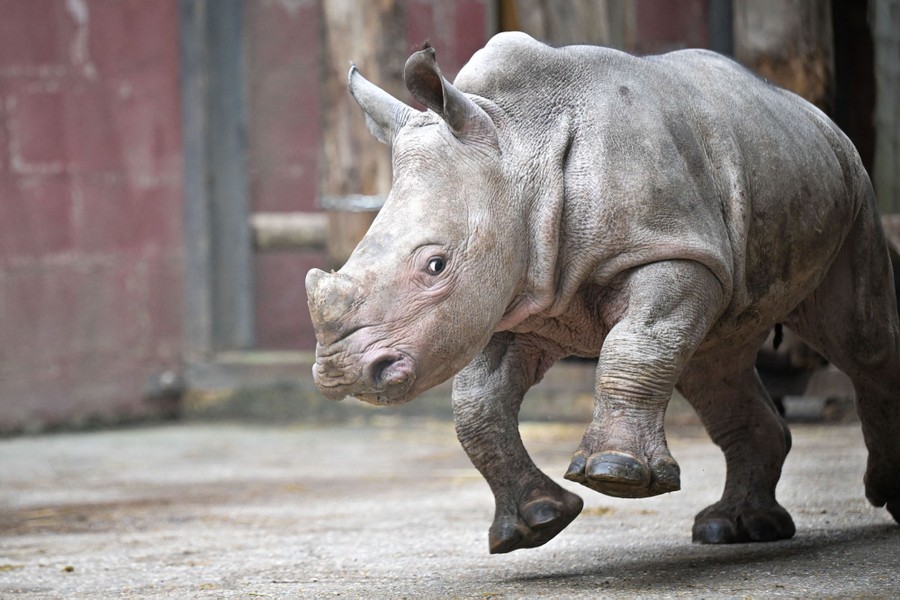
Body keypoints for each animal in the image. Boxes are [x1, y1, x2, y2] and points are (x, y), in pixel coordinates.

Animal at [306, 32, 900, 553]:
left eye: (435, 265)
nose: (341, 373)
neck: (517, 141)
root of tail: (812, 112)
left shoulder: (671, 248)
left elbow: (632, 347)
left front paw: (617, 476)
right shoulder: (512, 294)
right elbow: (477, 400)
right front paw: (535, 524)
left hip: (850, 181)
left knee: (862, 342)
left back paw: (883, 497)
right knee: (714, 361)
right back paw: (733, 530)